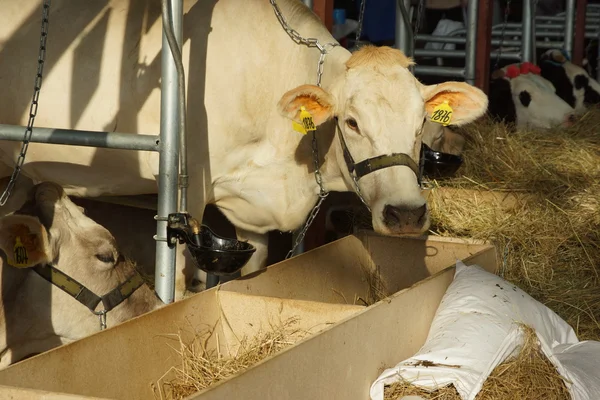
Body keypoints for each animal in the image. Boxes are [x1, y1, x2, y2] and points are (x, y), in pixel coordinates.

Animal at [0, 0, 488, 296]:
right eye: (351, 122)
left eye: (421, 121)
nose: (406, 214)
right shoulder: (188, 189)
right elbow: (181, 280)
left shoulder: (255, 210)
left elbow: (257, 271)